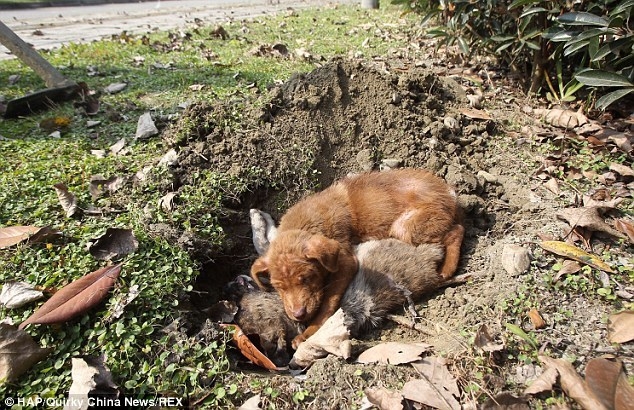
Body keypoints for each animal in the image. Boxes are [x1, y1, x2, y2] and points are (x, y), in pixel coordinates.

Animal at [249, 168, 462, 348]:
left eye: (308, 278)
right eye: (279, 287)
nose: (299, 315)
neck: (307, 222)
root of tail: (449, 191)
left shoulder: (346, 263)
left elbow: (328, 304)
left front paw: (308, 333)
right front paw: (259, 220)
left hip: (407, 228)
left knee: (456, 231)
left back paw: (447, 269)